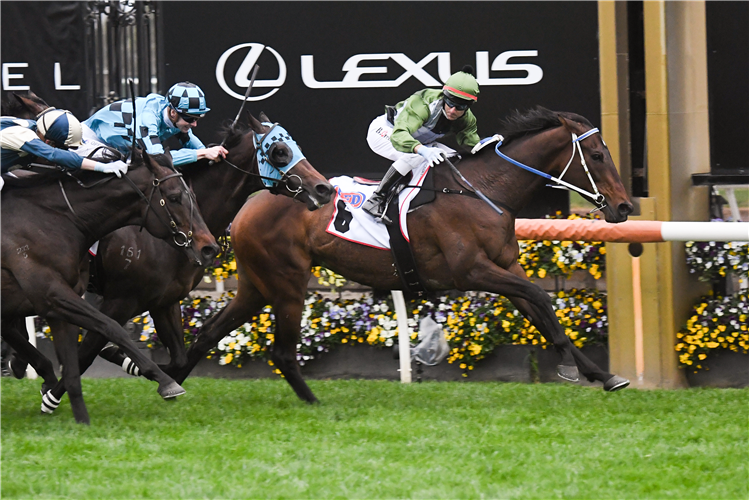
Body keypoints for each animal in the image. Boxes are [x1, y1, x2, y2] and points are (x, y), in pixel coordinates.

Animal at [0, 148, 219, 422]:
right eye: (174, 197)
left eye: (192, 195)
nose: (209, 248)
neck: (54, 218)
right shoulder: (60, 294)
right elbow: (109, 330)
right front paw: (163, 379)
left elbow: (76, 363)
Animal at [168, 106, 632, 402]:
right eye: (596, 155)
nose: (625, 207)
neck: (483, 191)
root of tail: (249, 204)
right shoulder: (472, 270)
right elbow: (541, 299)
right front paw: (571, 368)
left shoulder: (504, 267)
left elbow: (540, 309)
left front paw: (605, 375)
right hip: (287, 282)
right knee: (280, 351)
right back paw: (312, 403)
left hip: (256, 284)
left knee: (207, 334)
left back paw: (171, 382)